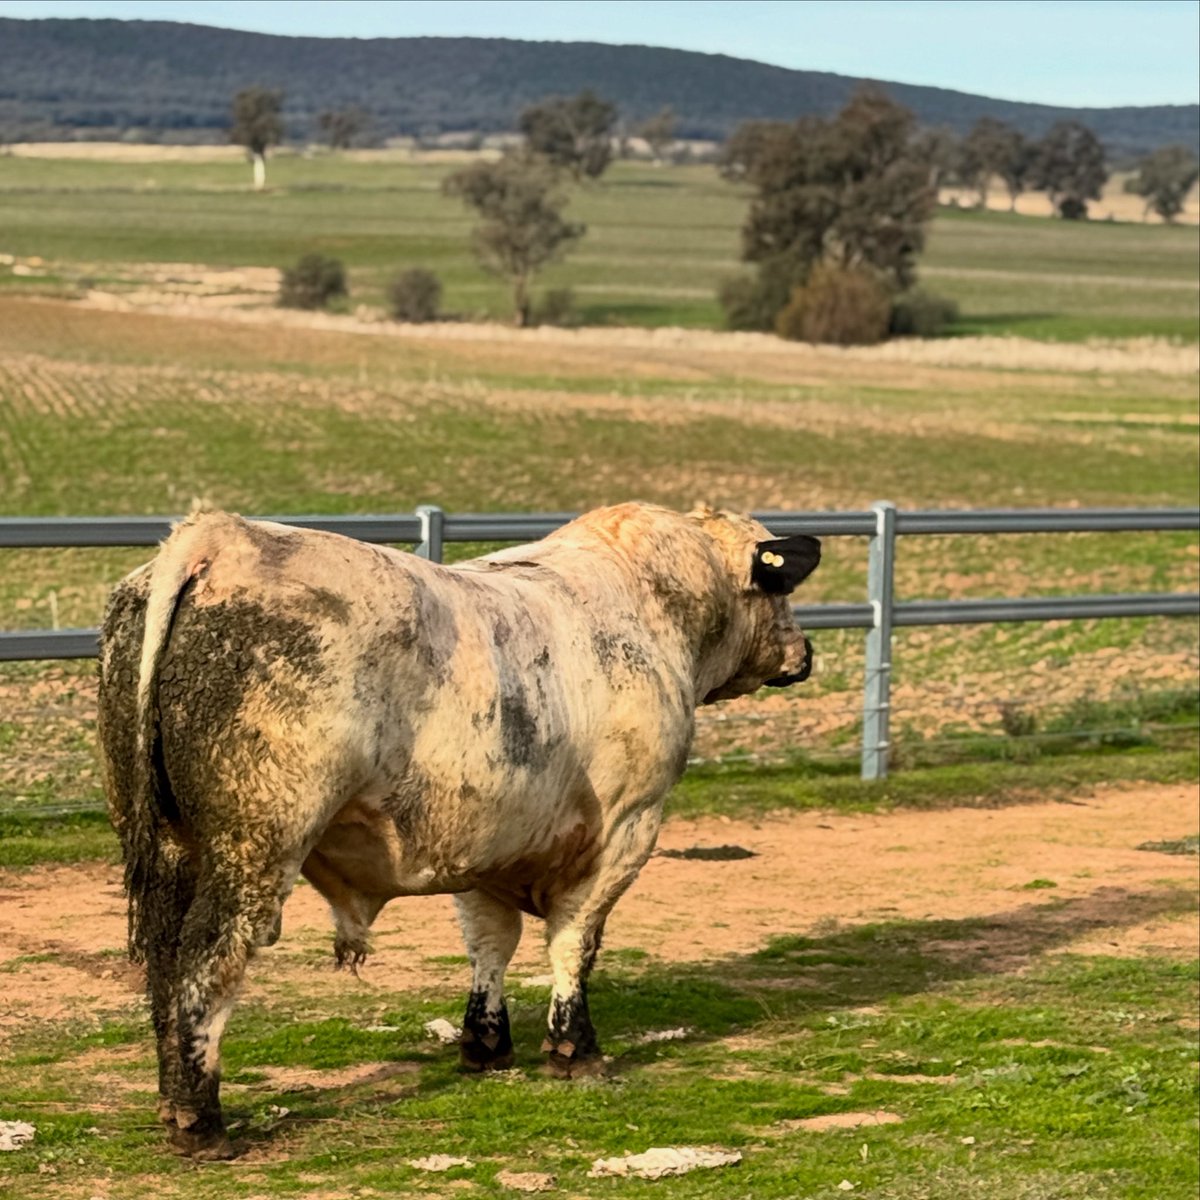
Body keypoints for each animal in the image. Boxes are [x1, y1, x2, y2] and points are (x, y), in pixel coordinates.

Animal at [97, 501, 820, 1159]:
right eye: (782, 590)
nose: (805, 652)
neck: (655, 605)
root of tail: (222, 537)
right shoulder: (626, 828)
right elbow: (574, 942)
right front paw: (573, 1049)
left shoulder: (485, 840)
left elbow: (490, 944)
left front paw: (486, 1042)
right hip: (255, 847)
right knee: (207, 960)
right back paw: (201, 1121)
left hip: (164, 843)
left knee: (164, 961)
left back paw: (171, 1101)